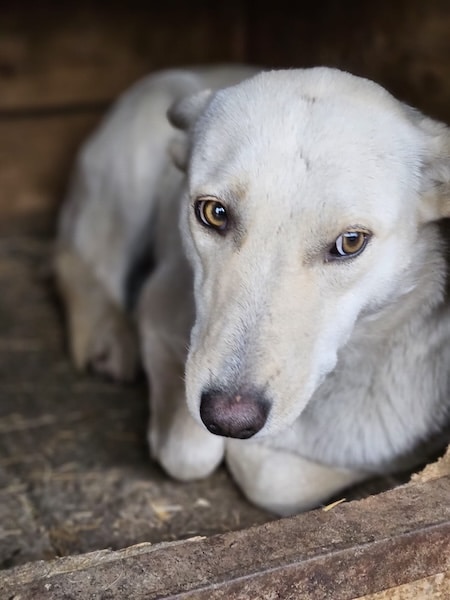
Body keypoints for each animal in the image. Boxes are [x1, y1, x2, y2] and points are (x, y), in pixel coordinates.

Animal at [55, 65, 450, 516]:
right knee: (72, 255)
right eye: (214, 213)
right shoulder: (158, 309)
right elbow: (191, 454)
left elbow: (272, 478)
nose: (229, 420)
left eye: (350, 242)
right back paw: (106, 337)